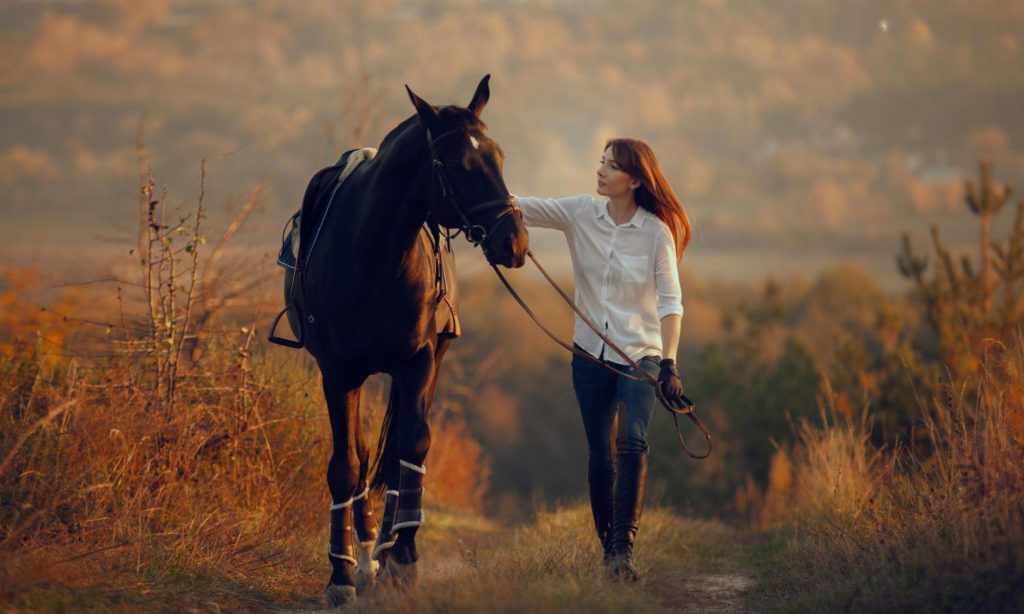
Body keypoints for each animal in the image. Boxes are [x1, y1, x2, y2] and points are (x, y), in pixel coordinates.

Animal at [278, 75, 528, 605]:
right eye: (457, 164)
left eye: (498, 156)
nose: (514, 242)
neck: (374, 254)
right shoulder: (338, 372)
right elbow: (346, 465)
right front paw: (340, 573)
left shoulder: (419, 362)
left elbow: (411, 447)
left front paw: (404, 558)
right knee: (363, 455)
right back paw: (369, 550)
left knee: (396, 456)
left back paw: (387, 548)